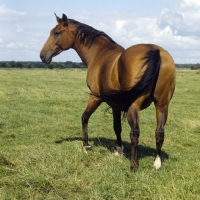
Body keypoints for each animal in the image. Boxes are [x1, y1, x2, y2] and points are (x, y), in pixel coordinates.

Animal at [40, 13, 175, 170]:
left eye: (57, 33)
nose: (42, 55)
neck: (100, 54)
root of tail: (155, 51)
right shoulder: (116, 105)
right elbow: (117, 127)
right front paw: (118, 150)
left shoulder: (95, 97)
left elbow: (85, 117)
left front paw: (86, 146)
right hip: (162, 105)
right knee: (159, 132)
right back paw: (157, 162)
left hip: (134, 106)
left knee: (135, 132)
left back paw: (133, 165)